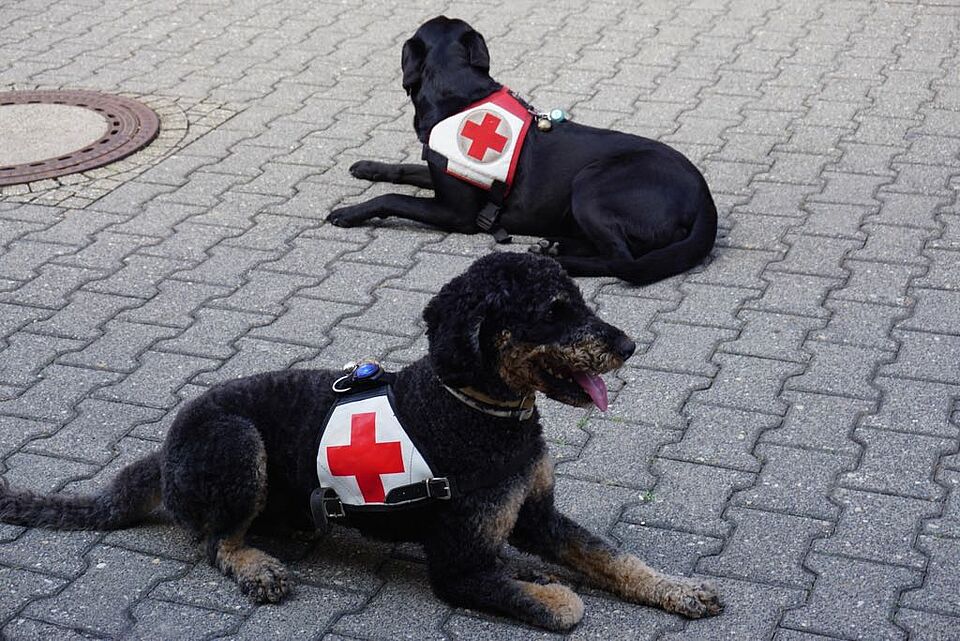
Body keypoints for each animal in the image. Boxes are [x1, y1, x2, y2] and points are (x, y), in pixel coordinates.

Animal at [0, 251, 720, 632]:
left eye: (580, 298)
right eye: (553, 310)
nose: (628, 344)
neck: (469, 407)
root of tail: (166, 451)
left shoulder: (537, 513)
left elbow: (612, 558)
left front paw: (678, 589)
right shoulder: (456, 565)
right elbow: (565, 603)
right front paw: (544, 589)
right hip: (237, 441)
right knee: (215, 542)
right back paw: (256, 566)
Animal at [326, 16, 716, 284]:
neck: (459, 95)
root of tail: (704, 199)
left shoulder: (456, 212)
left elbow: (391, 198)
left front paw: (349, 211)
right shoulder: (443, 169)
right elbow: (405, 169)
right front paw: (367, 166)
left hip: (591, 185)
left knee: (623, 260)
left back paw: (558, 261)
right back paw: (553, 246)